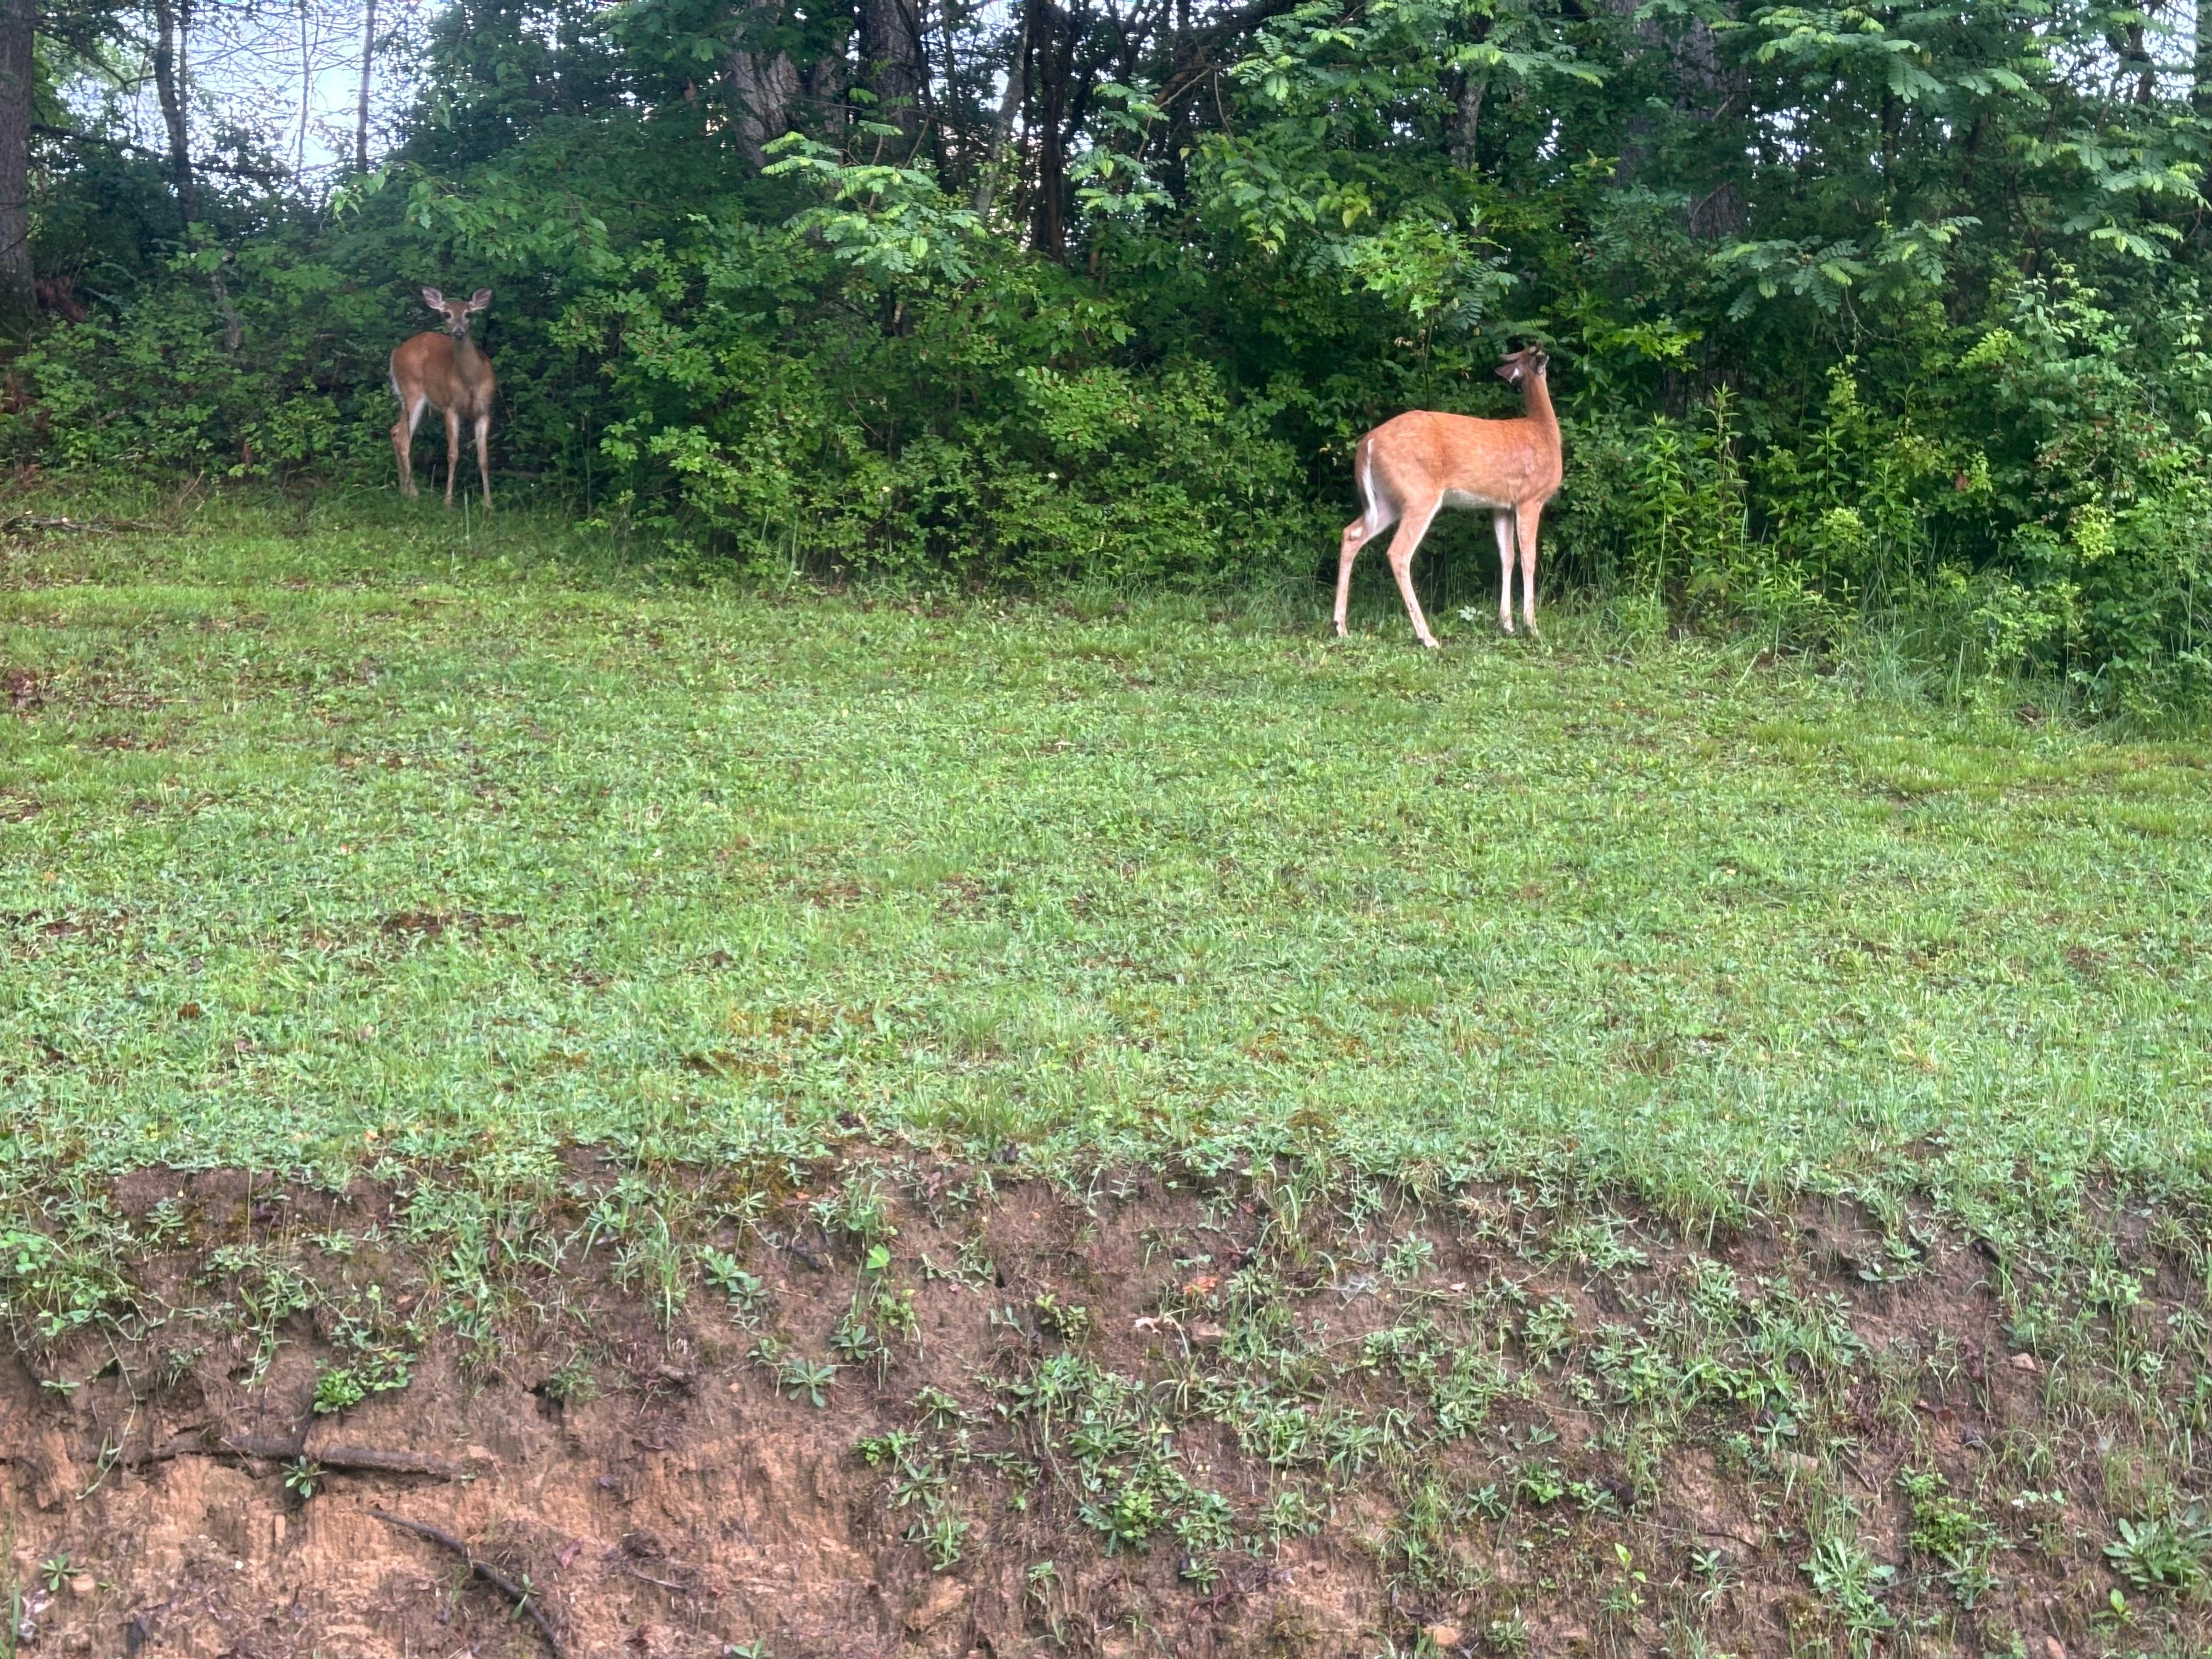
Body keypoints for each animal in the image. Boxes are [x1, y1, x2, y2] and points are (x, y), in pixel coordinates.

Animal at [390, 287, 496, 511]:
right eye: (446, 314)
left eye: (469, 314)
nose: (458, 333)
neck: (472, 380)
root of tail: (396, 353)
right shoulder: (450, 406)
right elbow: (453, 453)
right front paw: (447, 502)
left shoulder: (485, 409)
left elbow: (483, 457)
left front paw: (488, 504)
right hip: (413, 392)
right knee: (403, 438)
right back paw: (413, 493)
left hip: (424, 407)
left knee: (395, 431)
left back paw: (403, 491)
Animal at [1334, 344, 1562, 648]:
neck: (1543, 430)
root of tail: (1366, 444)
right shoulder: (1530, 499)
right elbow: (1528, 558)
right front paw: (1531, 626)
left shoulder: (1501, 505)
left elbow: (1507, 557)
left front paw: (1507, 625)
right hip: (1420, 494)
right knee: (1398, 552)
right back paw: (1427, 637)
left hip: (1387, 500)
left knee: (1351, 533)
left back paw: (1340, 626)